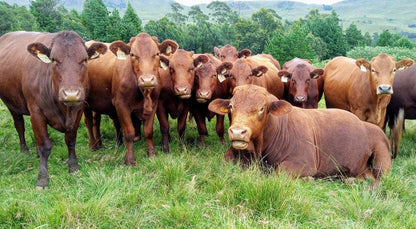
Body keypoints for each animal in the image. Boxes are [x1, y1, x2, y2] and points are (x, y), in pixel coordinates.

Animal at [0, 30, 106, 188]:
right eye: (54, 59)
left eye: (85, 59)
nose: (71, 94)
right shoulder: (36, 112)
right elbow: (45, 145)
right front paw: (43, 178)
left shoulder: (78, 110)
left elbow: (70, 140)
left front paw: (73, 167)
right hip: (12, 103)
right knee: (19, 125)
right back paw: (24, 151)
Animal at [85, 32, 178, 165]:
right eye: (132, 54)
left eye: (157, 54)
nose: (147, 80)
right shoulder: (121, 106)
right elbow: (129, 132)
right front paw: (129, 159)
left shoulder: (154, 104)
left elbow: (148, 131)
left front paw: (152, 154)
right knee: (88, 122)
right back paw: (93, 145)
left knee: (96, 121)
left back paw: (100, 144)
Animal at [210, 85, 392, 183]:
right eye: (231, 106)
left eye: (262, 108)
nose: (237, 131)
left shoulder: (304, 162)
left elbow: (280, 172)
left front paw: (308, 179)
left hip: (381, 159)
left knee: (379, 178)